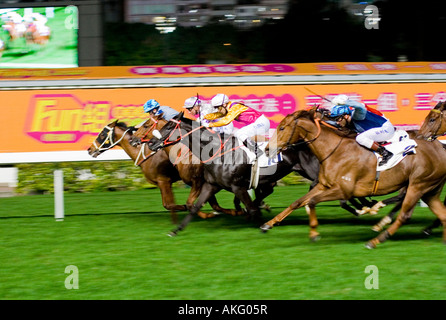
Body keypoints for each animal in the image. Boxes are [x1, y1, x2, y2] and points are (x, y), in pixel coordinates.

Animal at [87, 119, 233, 222]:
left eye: (102, 134)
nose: (89, 149)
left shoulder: (164, 180)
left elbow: (169, 204)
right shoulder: (163, 182)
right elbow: (168, 204)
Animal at [264, 107, 446, 248]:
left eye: (282, 128)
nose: (267, 149)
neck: (334, 150)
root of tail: (440, 149)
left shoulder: (344, 190)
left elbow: (313, 201)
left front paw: (314, 233)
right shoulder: (323, 185)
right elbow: (298, 202)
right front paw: (268, 224)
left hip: (418, 185)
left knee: (404, 215)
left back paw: (375, 239)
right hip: (429, 190)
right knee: (442, 214)